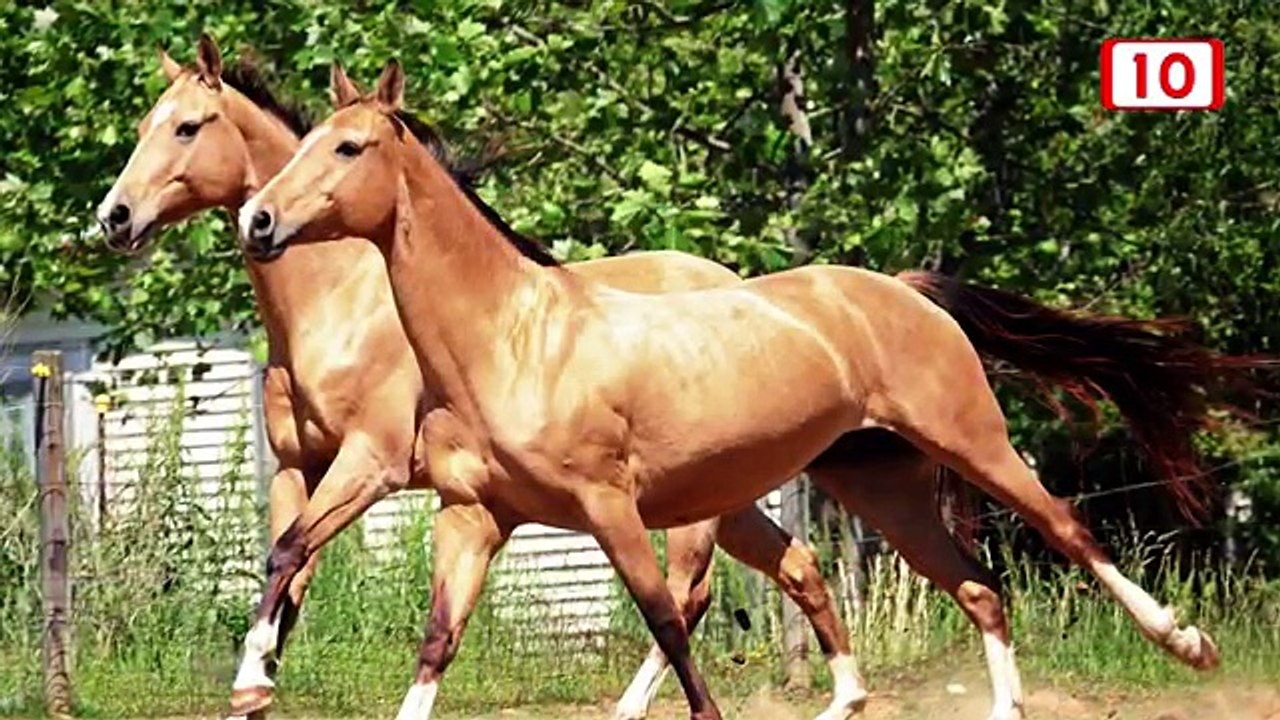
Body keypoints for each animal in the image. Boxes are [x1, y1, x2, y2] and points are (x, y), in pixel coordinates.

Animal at [238, 59, 1265, 720]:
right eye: (305, 141)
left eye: (349, 147)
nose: (257, 220)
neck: (517, 338)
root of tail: (901, 288)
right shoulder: (473, 517)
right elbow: (435, 644)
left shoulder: (609, 507)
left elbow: (670, 626)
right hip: (880, 482)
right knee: (979, 588)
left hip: (970, 440)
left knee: (1065, 530)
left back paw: (1188, 644)